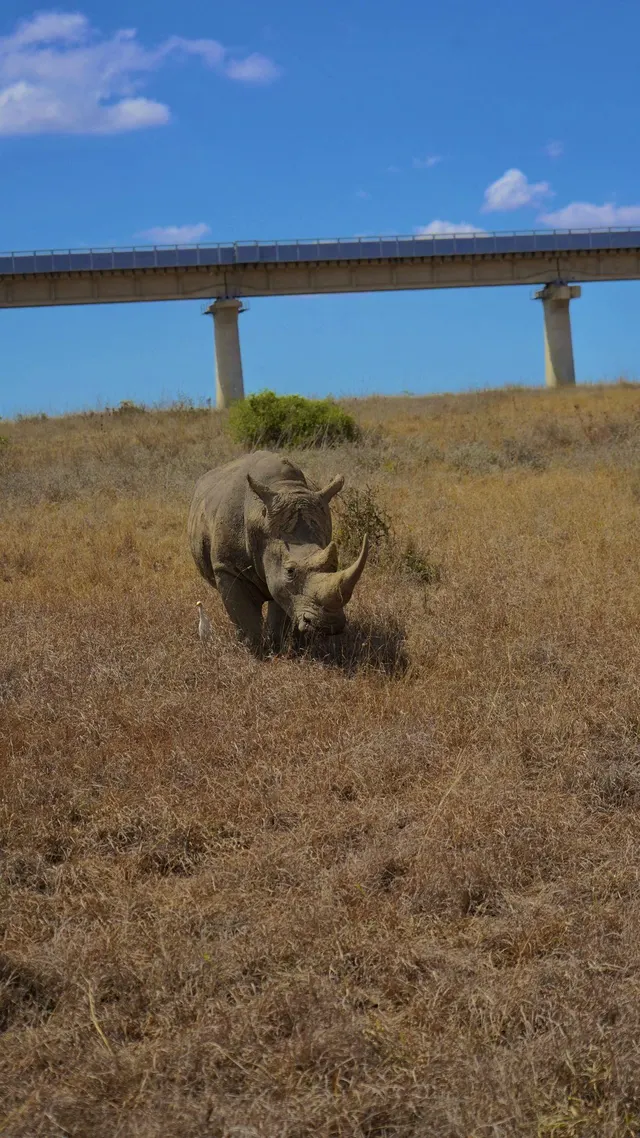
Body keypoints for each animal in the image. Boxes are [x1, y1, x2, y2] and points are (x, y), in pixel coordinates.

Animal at [188, 451, 368, 655]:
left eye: (335, 565)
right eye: (290, 571)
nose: (330, 625)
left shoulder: (284, 583)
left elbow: (281, 609)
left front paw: (276, 649)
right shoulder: (227, 567)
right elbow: (244, 615)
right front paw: (257, 653)